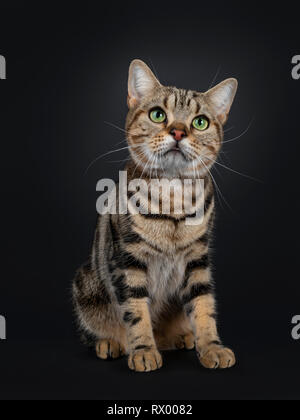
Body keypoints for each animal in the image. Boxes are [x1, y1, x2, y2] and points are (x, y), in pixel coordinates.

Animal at [71, 59, 238, 370]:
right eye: (158, 115)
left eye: (200, 122)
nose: (178, 132)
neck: (173, 198)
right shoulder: (129, 260)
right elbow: (136, 313)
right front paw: (143, 351)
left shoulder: (197, 259)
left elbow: (204, 307)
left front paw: (212, 347)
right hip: (85, 284)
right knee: (99, 330)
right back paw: (111, 343)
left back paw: (182, 337)